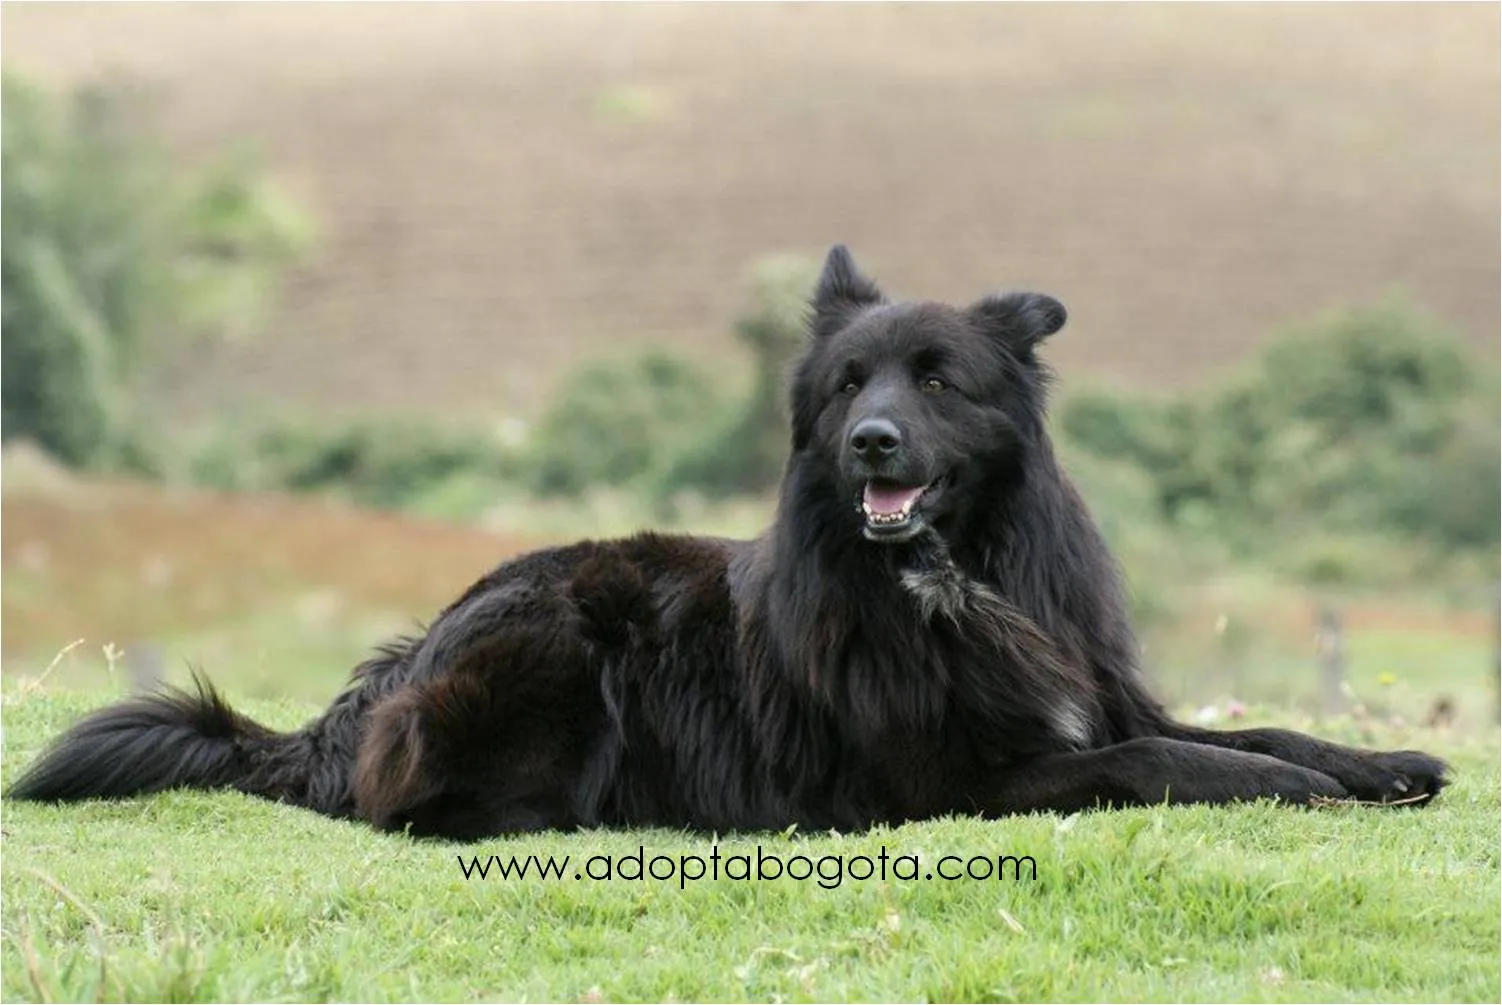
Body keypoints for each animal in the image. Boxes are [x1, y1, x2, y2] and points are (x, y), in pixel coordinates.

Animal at [8, 246, 1441, 835]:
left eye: (934, 381)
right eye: (850, 384)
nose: (867, 443)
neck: (949, 581)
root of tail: (379, 686)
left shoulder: (1091, 694)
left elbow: (1252, 728)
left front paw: (1379, 763)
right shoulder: (951, 785)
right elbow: (1161, 760)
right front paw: (1299, 790)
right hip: (561, 638)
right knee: (418, 808)